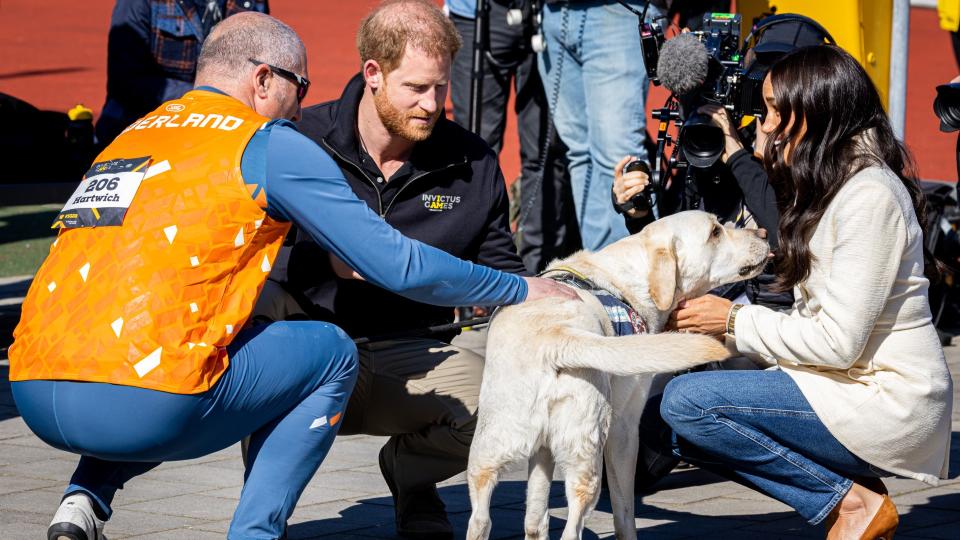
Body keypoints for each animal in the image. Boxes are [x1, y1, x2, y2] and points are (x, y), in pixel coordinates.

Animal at [464, 210, 772, 540]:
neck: (630, 279)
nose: (764, 234)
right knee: (573, 526)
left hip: (490, 446)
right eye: (715, 232)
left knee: (482, 519)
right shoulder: (625, 426)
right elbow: (624, 511)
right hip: (588, 448)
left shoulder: (544, 446)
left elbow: (536, 515)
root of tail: (555, 335)